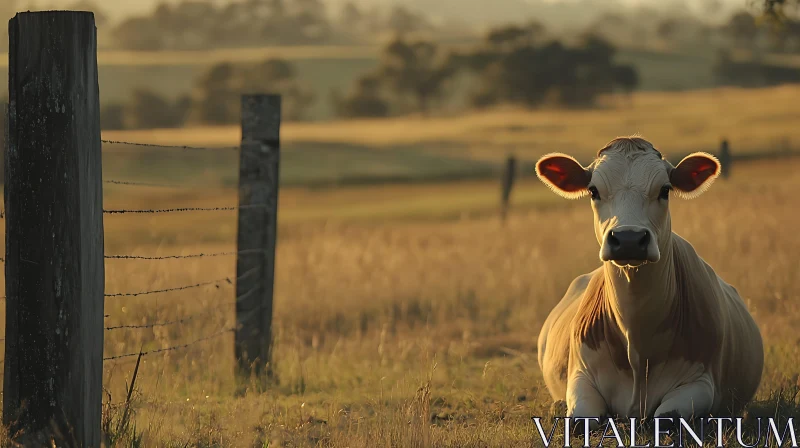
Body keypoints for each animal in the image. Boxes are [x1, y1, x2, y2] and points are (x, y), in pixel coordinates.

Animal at [536, 136, 764, 428]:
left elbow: (665, 419)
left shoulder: (701, 383)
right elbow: (579, 421)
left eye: (665, 190)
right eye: (593, 191)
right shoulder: (581, 375)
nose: (629, 239)